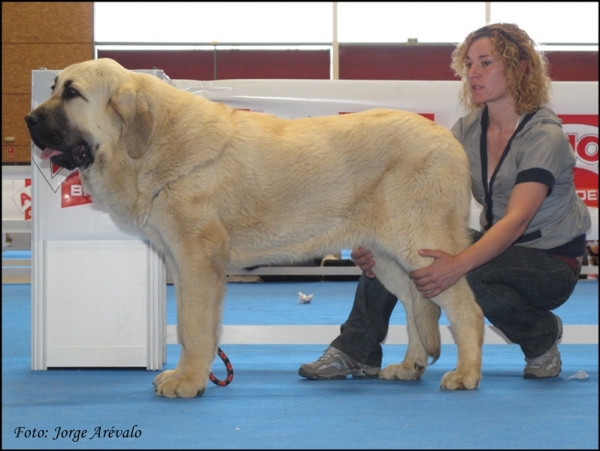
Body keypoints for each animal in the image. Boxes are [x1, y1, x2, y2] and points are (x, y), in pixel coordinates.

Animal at [27, 57, 482, 400]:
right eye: (53, 86)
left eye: (72, 93)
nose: (29, 118)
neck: (148, 142)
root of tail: (449, 140)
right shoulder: (183, 263)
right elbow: (191, 327)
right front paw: (189, 374)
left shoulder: (198, 259)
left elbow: (194, 326)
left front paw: (188, 382)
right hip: (389, 258)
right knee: (418, 305)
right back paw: (409, 366)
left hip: (420, 246)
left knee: (464, 309)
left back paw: (466, 375)